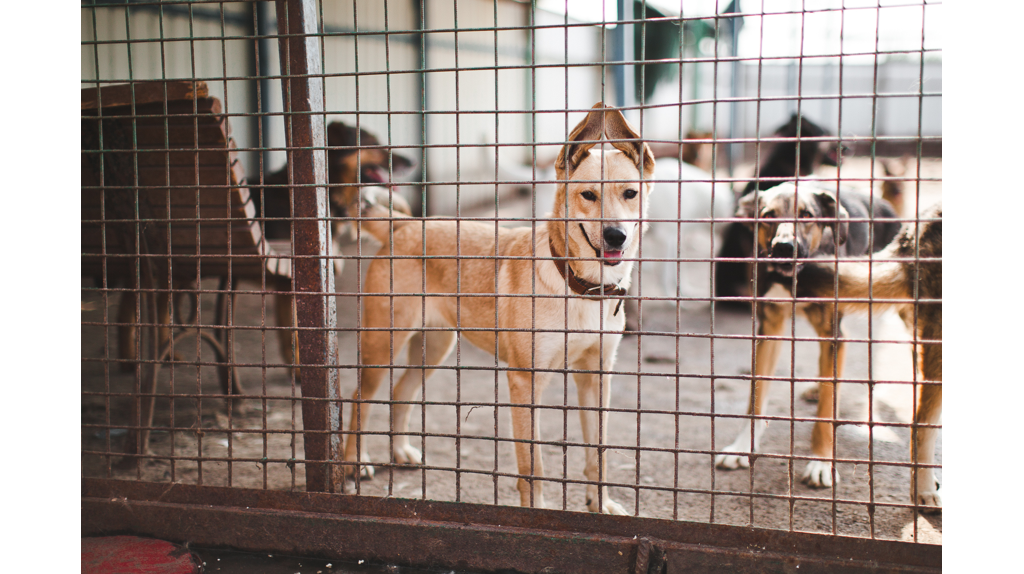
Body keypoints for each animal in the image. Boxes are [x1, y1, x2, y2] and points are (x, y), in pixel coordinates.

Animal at [344, 103, 655, 515]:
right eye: (587, 195)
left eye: (630, 193)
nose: (615, 235)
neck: (577, 286)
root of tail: (404, 226)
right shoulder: (525, 380)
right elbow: (533, 465)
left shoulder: (596, 376)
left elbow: (598, 452)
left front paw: (599, 504)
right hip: (382, 346)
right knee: (359, 398)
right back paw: (354, 462)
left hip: (433, 348)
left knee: (400, 392)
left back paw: (399, 451)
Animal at [716, 181, 901, 491]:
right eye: (767, 216)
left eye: (806, 215)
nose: (783, 247)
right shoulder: (770, 329)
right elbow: (756, 397)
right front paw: (742, 447)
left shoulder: (832, 334)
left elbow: (826, 410)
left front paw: (821, 463)